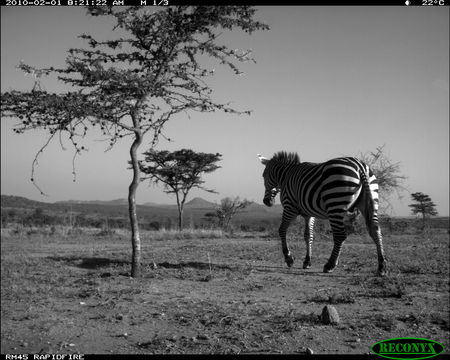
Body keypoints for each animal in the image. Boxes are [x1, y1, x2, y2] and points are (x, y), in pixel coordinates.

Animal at [258, 150, 388, 278]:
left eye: (264, 176)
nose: (266, 202)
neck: (286, 175)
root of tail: (359, 165)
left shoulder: (290, 207)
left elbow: (282, 230)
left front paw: (289, 258)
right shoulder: (309, 213)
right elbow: (308, 235)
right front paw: (307, 262)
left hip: (335, 203)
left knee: (340, 235)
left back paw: (330, 265)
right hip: (370, 199)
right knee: (375, 230)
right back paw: (382, 267)